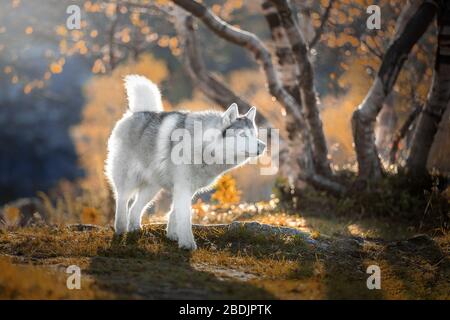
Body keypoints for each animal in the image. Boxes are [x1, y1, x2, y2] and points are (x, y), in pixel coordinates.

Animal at [106, 75, 266, 250]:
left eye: (254, 135)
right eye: (243, 135)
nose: (263, 145)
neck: (204, 148)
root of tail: (138, 112)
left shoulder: (187, 190)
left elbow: (175, 213)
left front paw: (172, 236)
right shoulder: (183, 187)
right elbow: (185, 217)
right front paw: (188, 244)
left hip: (152, 189)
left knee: (135, 207)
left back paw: (135, 230)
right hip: (129, 180)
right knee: (122, 200)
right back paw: (121, 230)